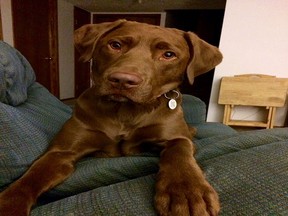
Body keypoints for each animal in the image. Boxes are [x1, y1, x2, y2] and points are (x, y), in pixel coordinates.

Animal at [0, 19, 223, 215]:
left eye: (168, 54)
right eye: (115, 45)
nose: (123, 80)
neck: (125, 110)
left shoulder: (176, 137)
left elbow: (179, 151)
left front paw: (186, 192)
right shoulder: (61, 151)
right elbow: (31, 178)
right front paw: (9, 204)